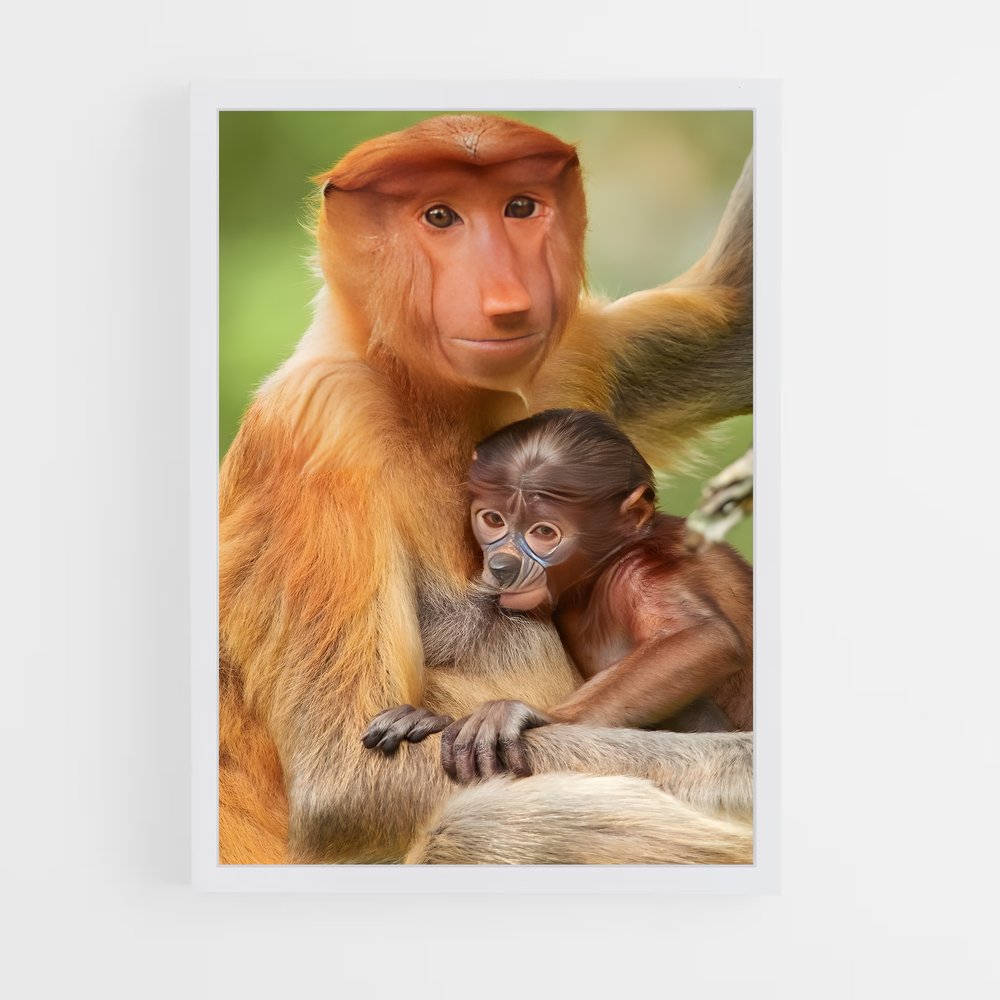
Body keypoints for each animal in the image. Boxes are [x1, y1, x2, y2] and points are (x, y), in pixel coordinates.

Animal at [363, 408, 752, 783]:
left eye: (544, 532)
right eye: (494, 519)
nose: (502, 565)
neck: (602, 569)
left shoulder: (635, 573)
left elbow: (705, 638)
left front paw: (532, 714)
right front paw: (427, 718)